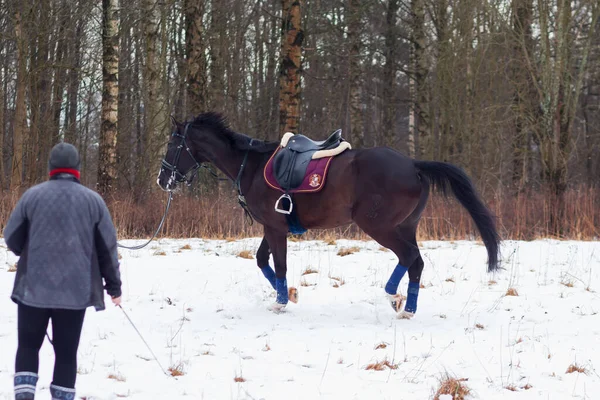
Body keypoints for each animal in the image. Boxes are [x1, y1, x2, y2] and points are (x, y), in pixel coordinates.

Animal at [157, 113, 500, 318]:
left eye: (173, 143)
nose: (163, 180)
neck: (250, 165)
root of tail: (414, 165)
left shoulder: (275, 227)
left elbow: (278, 264)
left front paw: (281, 301)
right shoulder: (272, 226)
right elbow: (263, 261)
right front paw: (289, 294)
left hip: (380, 226)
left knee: (409, 257)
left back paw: (396, 299)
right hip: (405, 226)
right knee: (415, 262)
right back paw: (405, 305)